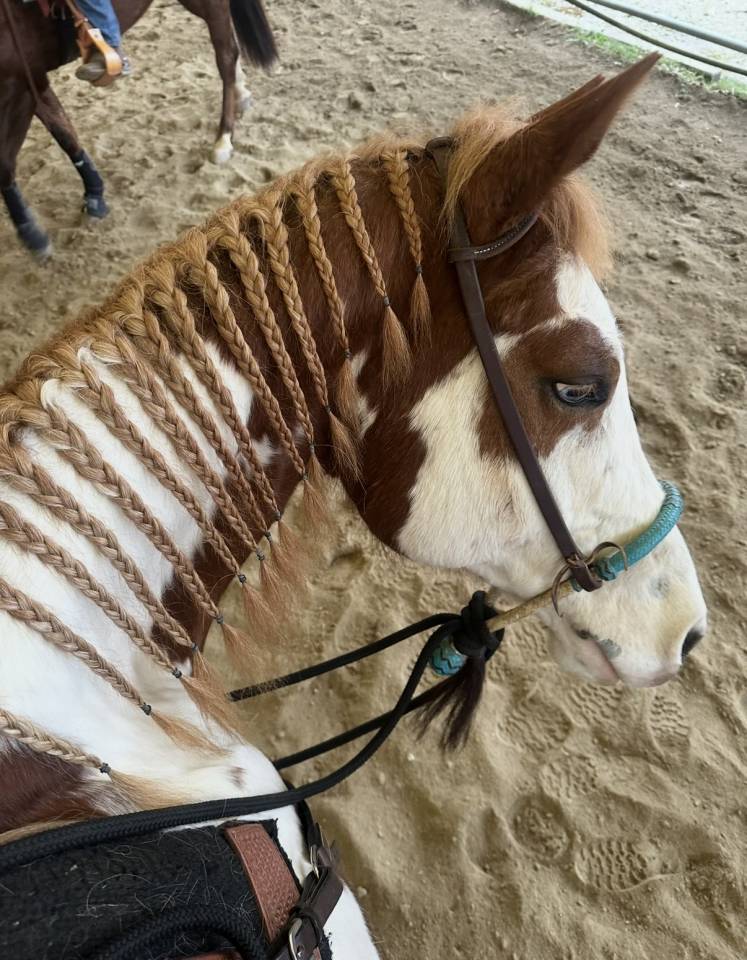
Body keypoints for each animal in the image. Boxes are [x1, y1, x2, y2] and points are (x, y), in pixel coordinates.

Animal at [0, 0, 277, 258]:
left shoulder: (22, 85)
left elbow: (6, 164)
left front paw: (32, 234)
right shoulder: (33, 80)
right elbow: (64, 132)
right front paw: (94, 192)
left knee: (226, 55)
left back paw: (223, 138)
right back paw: (242, 95)